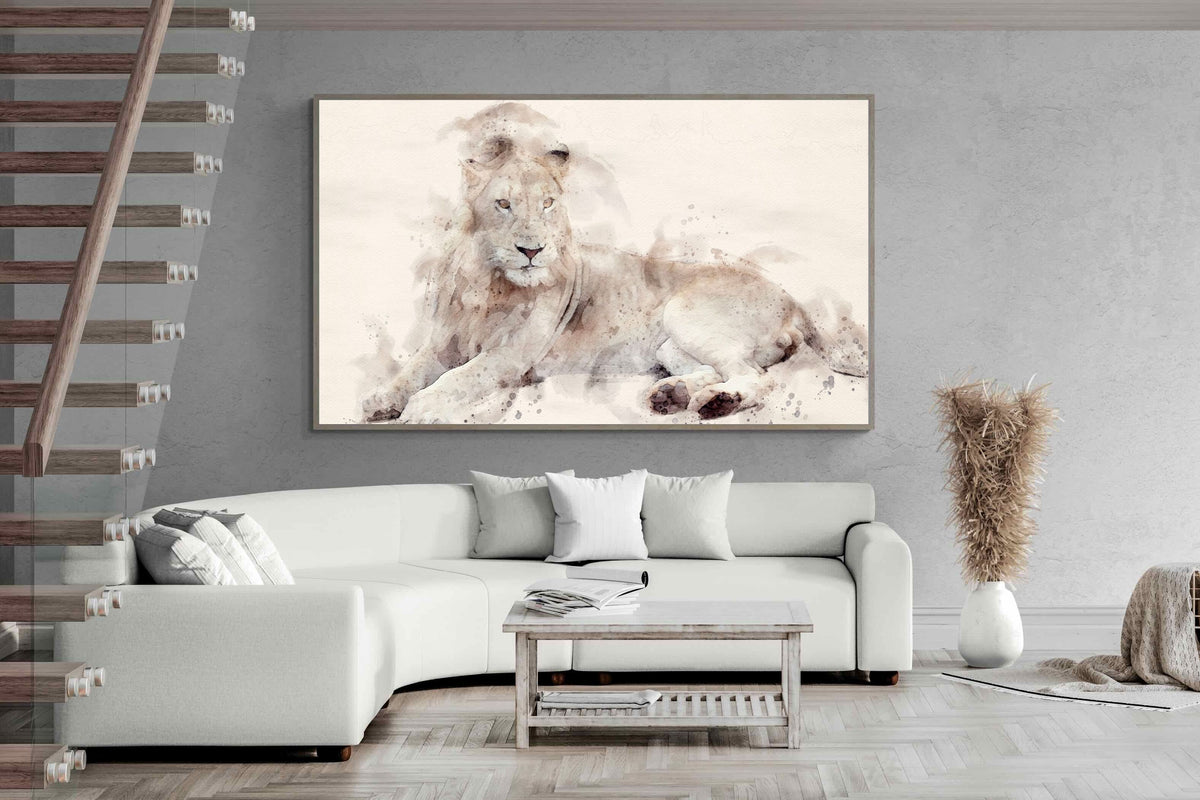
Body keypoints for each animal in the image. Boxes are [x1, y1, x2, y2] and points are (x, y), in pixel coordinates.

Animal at [362, 106, 867, 425]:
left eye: (547, 204)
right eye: (504, 204)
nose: (532, 251)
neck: (487, 282)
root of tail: (793, 300)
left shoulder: (511, 356)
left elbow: (458, 378)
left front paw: (420, 409)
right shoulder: (443, 342)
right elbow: (412, 369)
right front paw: (381, 399)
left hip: (687, 315)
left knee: (754, 377)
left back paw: (714, 405)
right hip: (671, 347)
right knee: (726, 368)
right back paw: (672, 396)